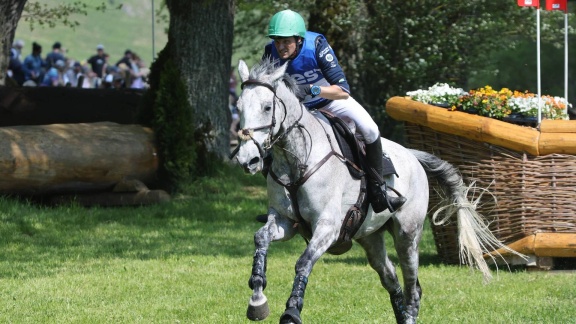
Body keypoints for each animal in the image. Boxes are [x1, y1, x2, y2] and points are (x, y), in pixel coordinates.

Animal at [231, 58, 520, 324]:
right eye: (239, 107)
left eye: (267, 107)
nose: (247, 160)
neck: (298, 159)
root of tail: (413, 156)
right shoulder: (284, 221)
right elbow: (261, 238)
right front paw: (257, 300)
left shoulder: (327, 226)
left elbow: (303, 262)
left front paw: (291, 311)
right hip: (370, 237)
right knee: (391, 278)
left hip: (407, 234)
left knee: (413, 287)